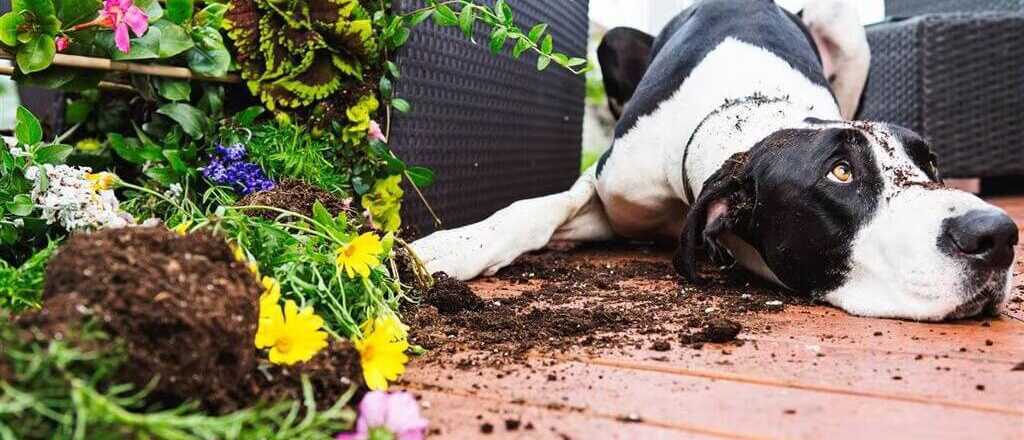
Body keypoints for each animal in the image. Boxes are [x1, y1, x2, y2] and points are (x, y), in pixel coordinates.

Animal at [411, 0, 1019, 323]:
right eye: (839, 172)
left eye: (930, 163)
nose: (998, 234)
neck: (751, 110)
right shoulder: (613, 189)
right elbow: (534, 209)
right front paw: (446, 249)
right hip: (615, 43)